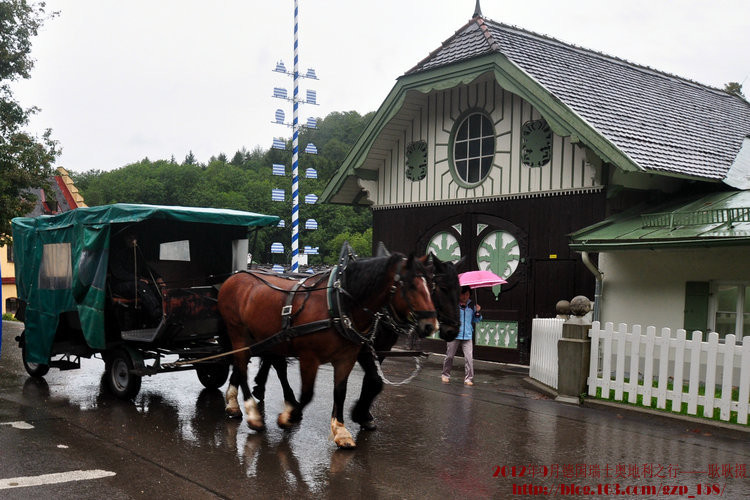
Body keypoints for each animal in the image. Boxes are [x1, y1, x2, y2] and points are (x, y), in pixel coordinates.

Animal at [217, 254, 438, 450]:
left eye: (431, 285)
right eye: (411, 285)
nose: (431, 325)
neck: (338, 306)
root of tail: (235, 276)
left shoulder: (347, 357)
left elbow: (341, 391)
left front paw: (341, 431)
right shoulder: (309, 357)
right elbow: (308, 394)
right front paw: (287, 418)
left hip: (268, 338)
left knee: (269, 365)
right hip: (238, 333)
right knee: (242, 365)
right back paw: (251, 413)